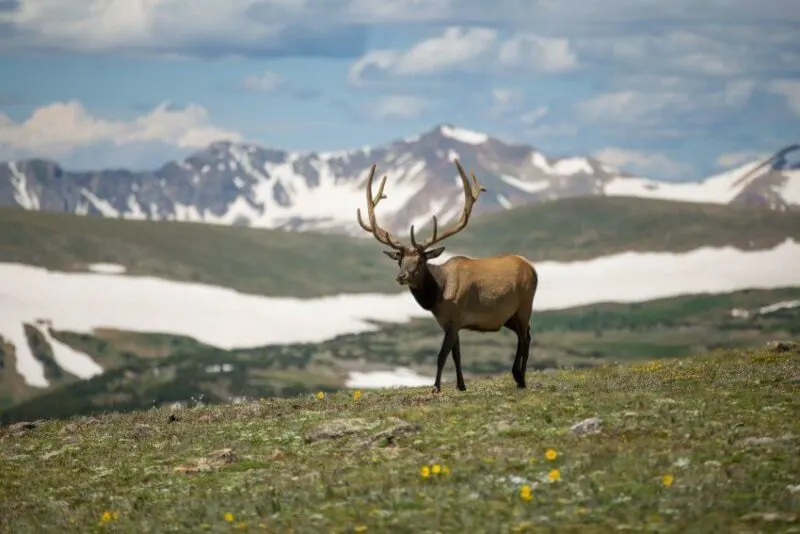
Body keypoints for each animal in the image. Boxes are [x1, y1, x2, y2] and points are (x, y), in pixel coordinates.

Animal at [360, 159, 540, 394]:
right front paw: (461, 385)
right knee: (524, 334)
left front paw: (436, 387)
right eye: (400, 260)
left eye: (420, 262)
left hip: (525, 305)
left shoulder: (455, 316)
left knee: (525, 336)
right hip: (508, 316)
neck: (438, 295)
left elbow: (441, 355)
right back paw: (518, 376)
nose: (401, 276)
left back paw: (521, 378)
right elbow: (456, 354)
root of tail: (532, 268)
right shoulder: (449, 322)